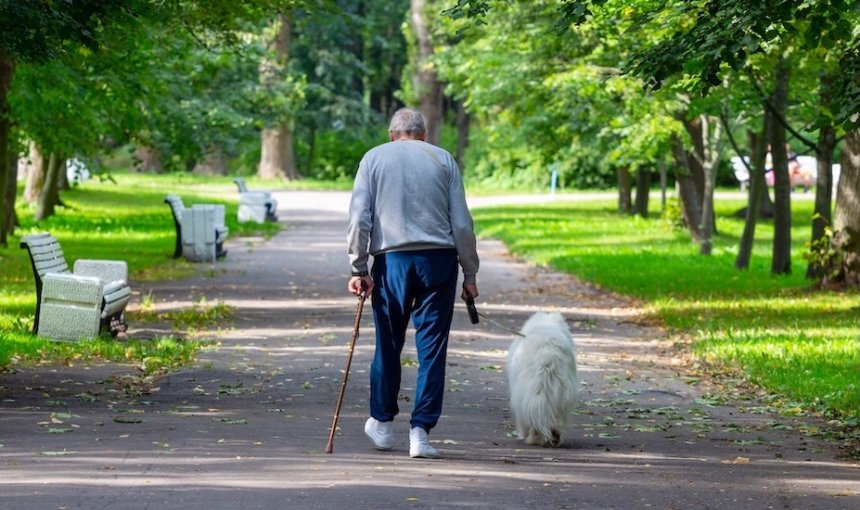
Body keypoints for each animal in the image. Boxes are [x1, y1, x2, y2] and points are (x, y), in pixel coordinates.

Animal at [508, 310, 580, 446]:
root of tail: (548, 354)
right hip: (563, 395)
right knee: (556, 419)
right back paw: (554, 436)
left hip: (526, 393)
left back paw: (534, 437)